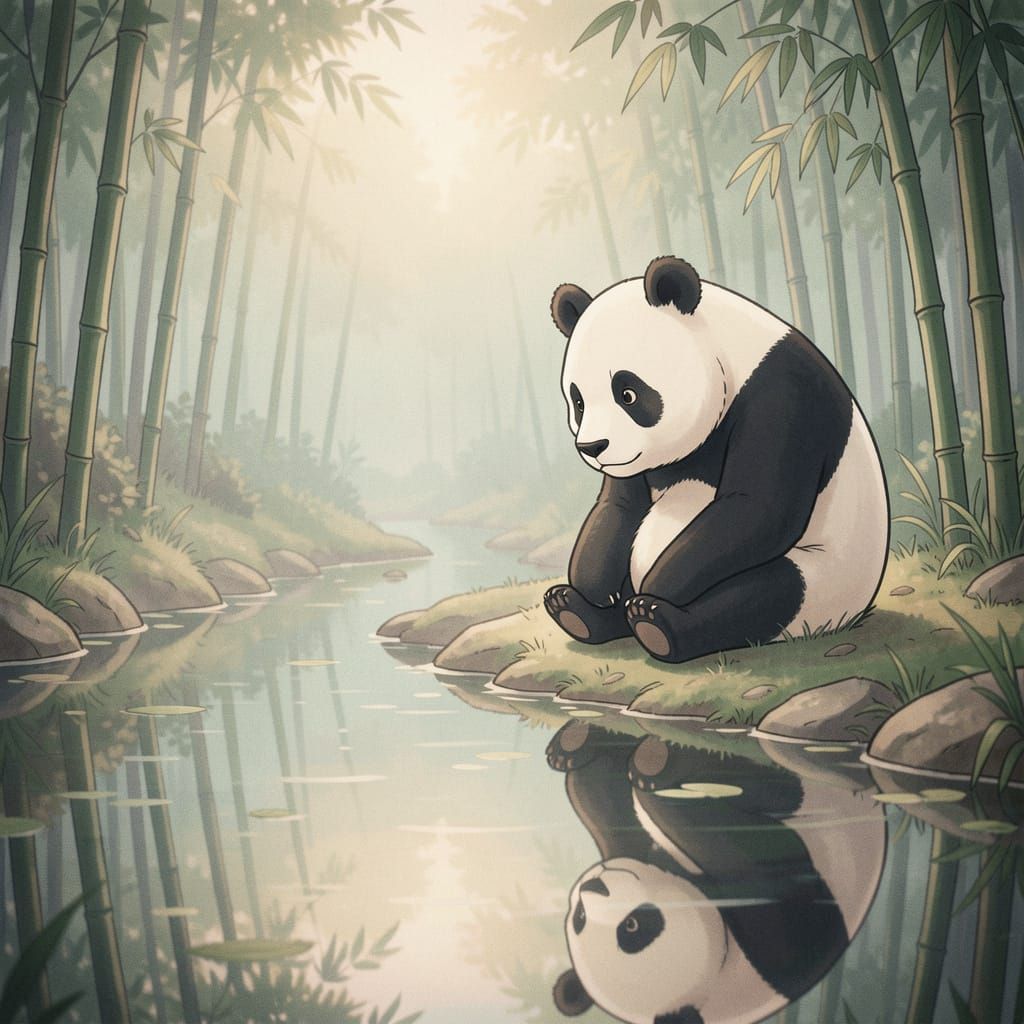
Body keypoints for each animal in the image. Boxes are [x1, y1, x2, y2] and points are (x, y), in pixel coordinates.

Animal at [544, 257, 889, 664]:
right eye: (578, 401)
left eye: (628, 393)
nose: (592, 447)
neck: (731, 352)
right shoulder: (630, 460)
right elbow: (619, 506)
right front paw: (593, 586)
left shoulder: (783, 396)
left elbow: (758, 509)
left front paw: (657, 585)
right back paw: (575, 610)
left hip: (823, 577)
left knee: (764, 595)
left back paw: (654, 621)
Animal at [545, 722, 887, 1024]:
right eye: (580, 918)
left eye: (631, 926)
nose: (592, 886)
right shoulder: (781, 944)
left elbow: (608, 805)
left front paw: (582, 747)